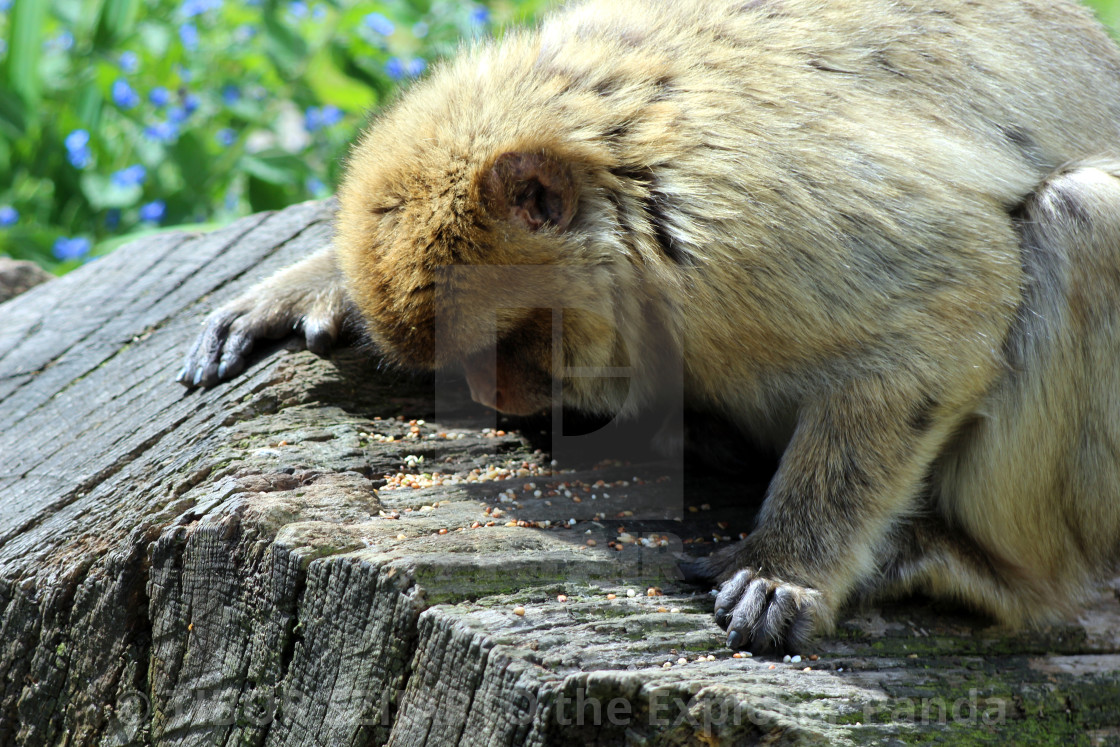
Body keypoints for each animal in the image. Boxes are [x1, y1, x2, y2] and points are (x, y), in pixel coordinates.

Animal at [179, 0, 1120, 654]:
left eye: (506, 344)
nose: (501, 399)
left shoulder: (756, 227)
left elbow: (953, 293)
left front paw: (787, 568)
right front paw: (311, 282)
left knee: (1081, 217)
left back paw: (1004, 575)